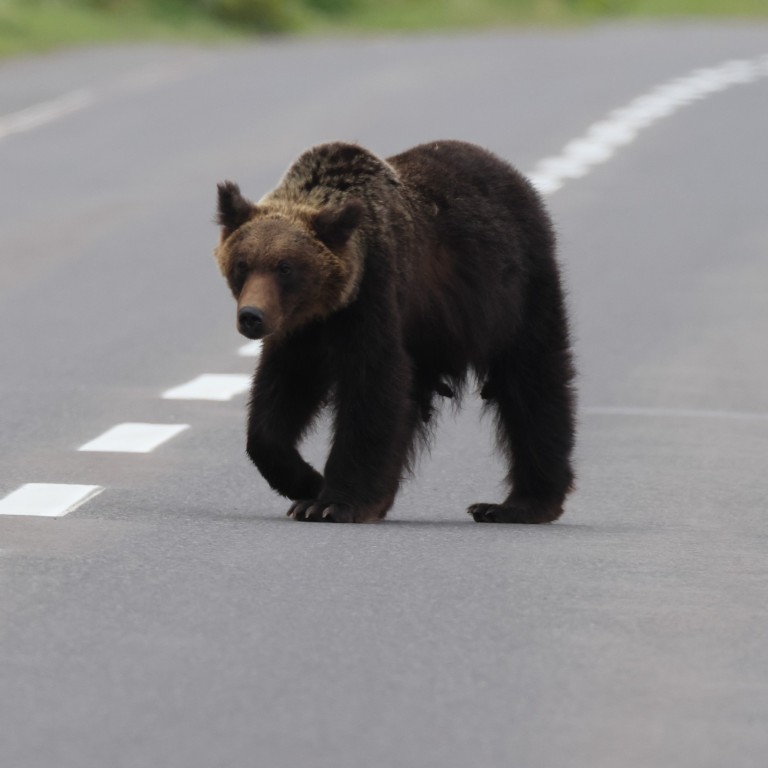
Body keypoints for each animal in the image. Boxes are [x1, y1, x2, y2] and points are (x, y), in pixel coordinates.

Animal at [214, 140, 576, 523]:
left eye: (285, 268)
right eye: (242, 264)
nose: (252, 316)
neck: (328, 307)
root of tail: (511, 173)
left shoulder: (374, 297)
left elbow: (372, 388)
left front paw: (331, 501)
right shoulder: (301, 333)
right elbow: (280, 396)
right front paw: (306, 483)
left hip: (515, 294)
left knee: (534, 385)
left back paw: (517, 504)